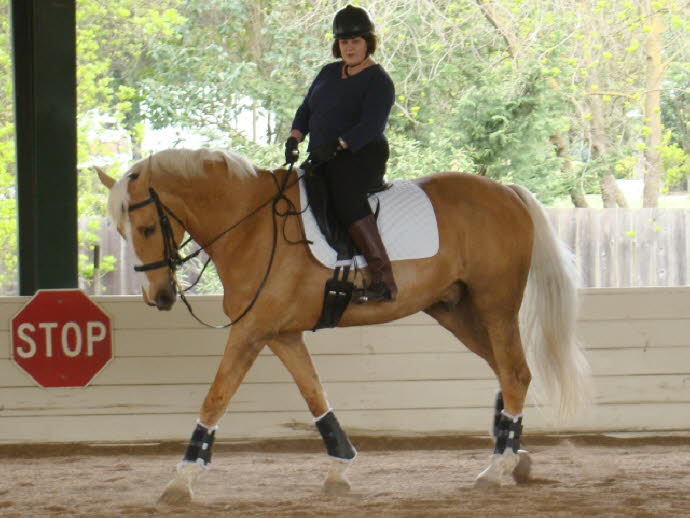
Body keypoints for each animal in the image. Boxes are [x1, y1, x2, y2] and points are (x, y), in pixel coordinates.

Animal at [97, 148, 588, 506]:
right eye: (121, 232)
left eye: (146, 227)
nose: (158, 297)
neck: (249, 225)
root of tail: (508, 192)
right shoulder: (280, 334)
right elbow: (315, 394)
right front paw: (340, 467)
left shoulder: (251, 331)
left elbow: (216, 397)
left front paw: (181, 480)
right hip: (455, 310)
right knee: (508, 373)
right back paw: (513, 457)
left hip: (494, 306)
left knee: (515, 373)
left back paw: (497, 469)